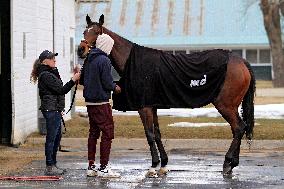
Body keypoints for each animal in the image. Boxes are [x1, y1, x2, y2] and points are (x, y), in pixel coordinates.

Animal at [77, 14, 255, 176]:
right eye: (84, 31)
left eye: (96, 32)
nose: (80, 50)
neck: (132, 60)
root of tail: (240, 60)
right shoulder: (153, 105)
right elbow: (157, 133)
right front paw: (163, 164)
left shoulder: (144, 107)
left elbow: (149, 134)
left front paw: (153, 165)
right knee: (238, 129)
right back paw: (233, 163)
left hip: (225, 105)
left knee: (239, 127)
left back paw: (227, 163)